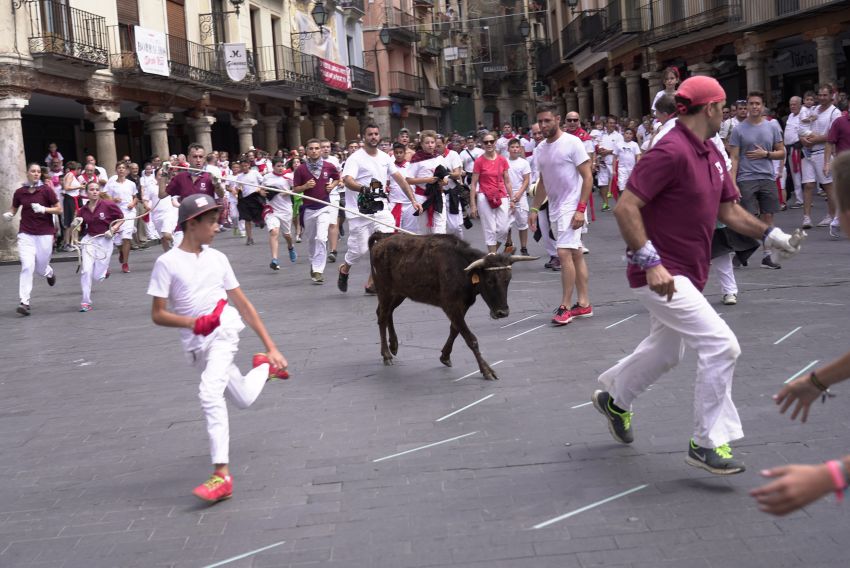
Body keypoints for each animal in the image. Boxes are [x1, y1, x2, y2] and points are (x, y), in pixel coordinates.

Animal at [366, 233, 536, 380]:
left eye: (508, 279)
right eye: (489, 281)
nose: (502, 312)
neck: (462, 269)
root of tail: (382, 240)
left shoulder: (463, 305)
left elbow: (455, 330)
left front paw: (445, 356)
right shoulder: (451, 307)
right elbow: (470, 338)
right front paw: (487, 370)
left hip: (399, 293)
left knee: (387, 312)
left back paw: (394, 345)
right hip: (385, 291)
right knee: (382, 316)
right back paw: (386, 354)